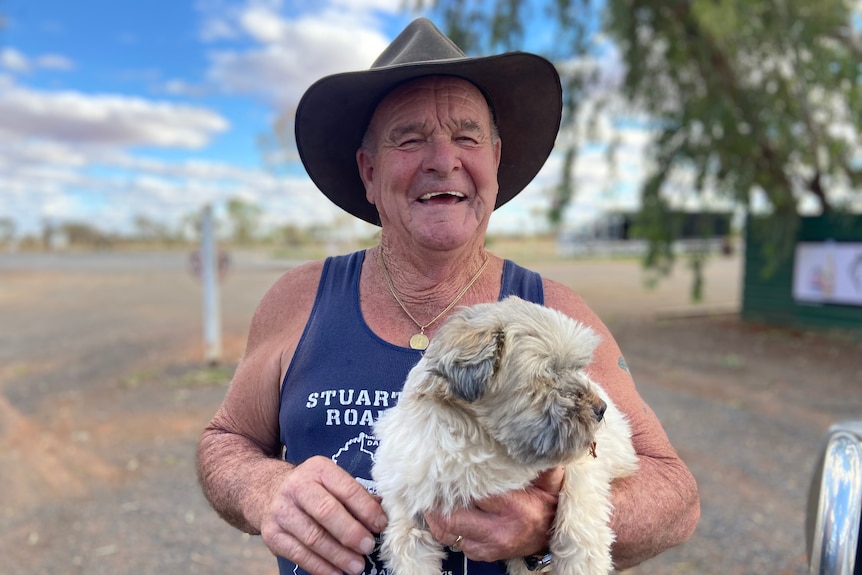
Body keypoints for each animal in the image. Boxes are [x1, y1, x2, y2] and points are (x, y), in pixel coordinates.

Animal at [372, 296, 640, 575]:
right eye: (547, 376)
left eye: (577, 369)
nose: (601, 408)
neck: (483, 443)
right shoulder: (408, 519)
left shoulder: (579, 461)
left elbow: (579, 509)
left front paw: (580, 561)